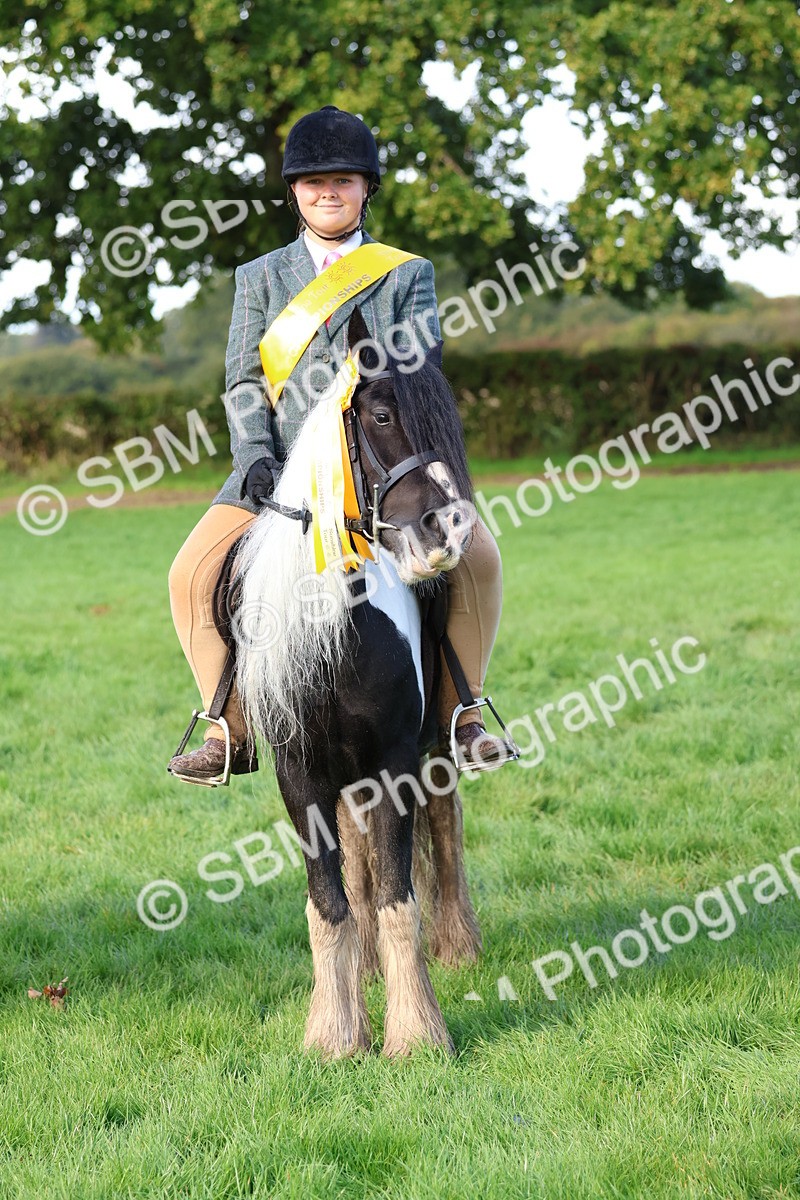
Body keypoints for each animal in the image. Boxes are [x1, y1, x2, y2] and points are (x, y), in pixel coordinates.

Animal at [232, 307, 482, 1057]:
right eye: (379, 414)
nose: (448, 528)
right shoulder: (301, 774)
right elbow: (331, 900)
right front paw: (335, 1035)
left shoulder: (397, 761)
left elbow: (399, 894)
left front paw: (417, 1035)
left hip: (430, 750)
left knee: (441, 825)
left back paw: (458, 944)